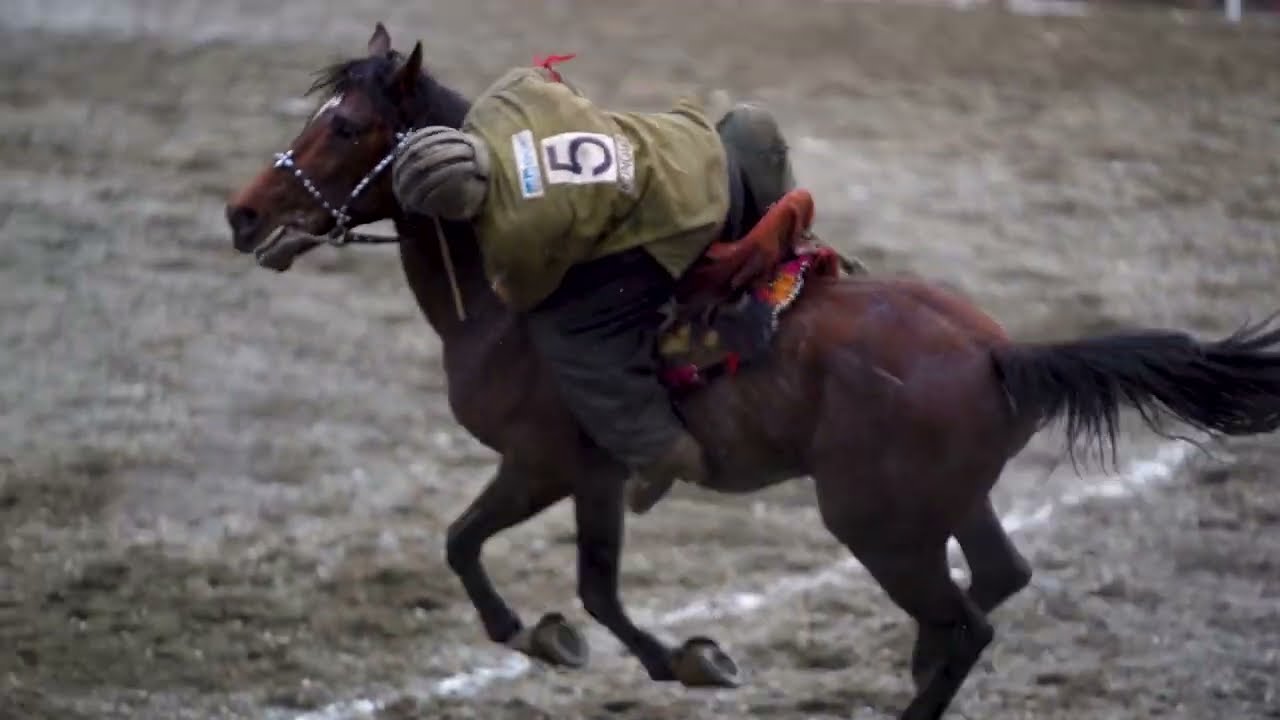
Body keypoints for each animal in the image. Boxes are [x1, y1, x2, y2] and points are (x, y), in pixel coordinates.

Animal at [224, 23, 1280, 720]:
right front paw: (646, 652)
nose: (242, 213)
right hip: (944, 506)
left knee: (968, 627)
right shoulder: (582, 474)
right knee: (996, 581)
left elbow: (488, 551)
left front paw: (575, 641)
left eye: (347, 127)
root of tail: (998, 351)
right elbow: (558, 575)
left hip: (878, 526)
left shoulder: (552, 465)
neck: (495, 302)